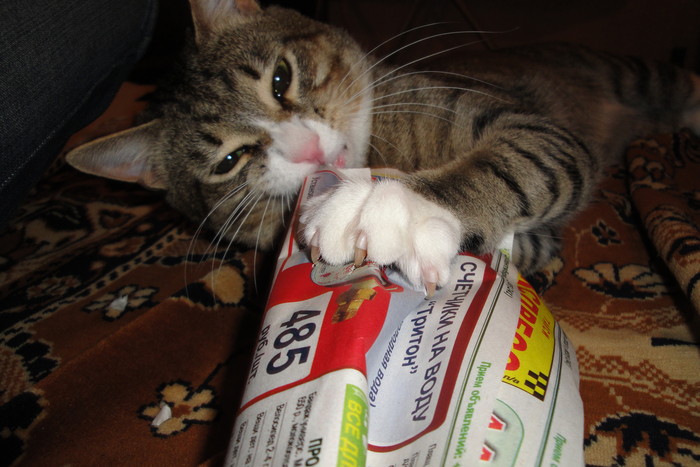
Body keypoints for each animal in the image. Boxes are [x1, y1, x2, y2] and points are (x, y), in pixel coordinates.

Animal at [67, 0, 700, 292]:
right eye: (228, 160)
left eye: (281, 79)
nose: (305, 150)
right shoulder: (536, 240)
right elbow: (518, 243)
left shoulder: (527, 126)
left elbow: (512, 161)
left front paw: (397, 206)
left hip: (637, 77)